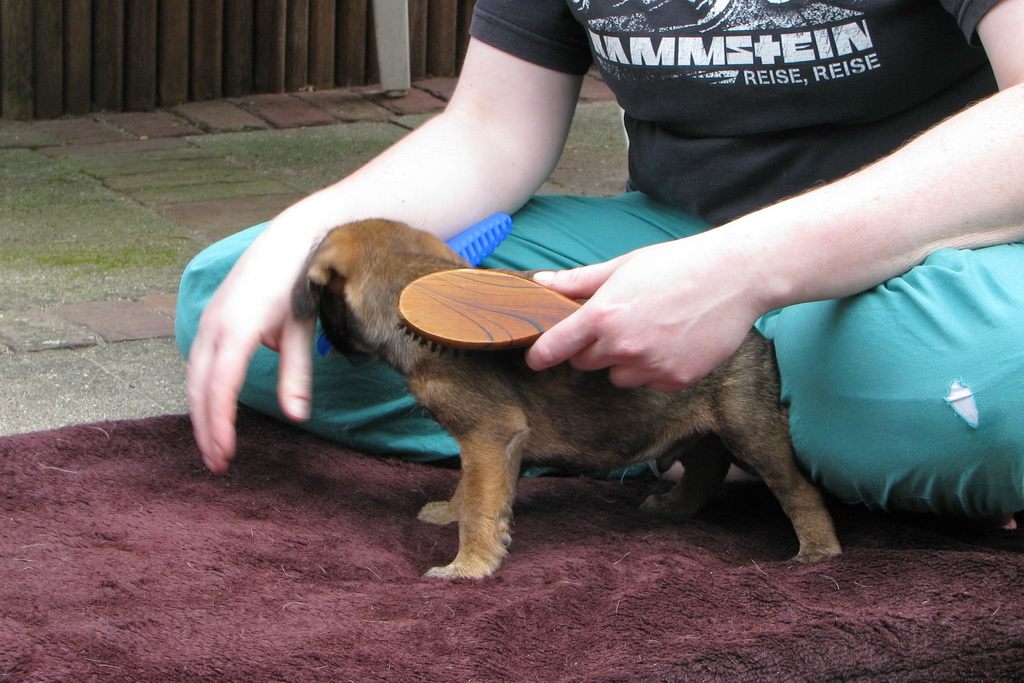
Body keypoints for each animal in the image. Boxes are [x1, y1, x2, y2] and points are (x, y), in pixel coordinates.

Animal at [293, 219, 841, 579]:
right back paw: (674, 508)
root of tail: (756, 335)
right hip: (706, 429)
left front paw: (468, 566)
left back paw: (817, 551)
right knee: (707, 468)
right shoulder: (492, 446)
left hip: (750, 431)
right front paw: (453, 515)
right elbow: (473, 490)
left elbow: (479, 507)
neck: (408, 288)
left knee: (796, 490)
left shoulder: (488, 434)